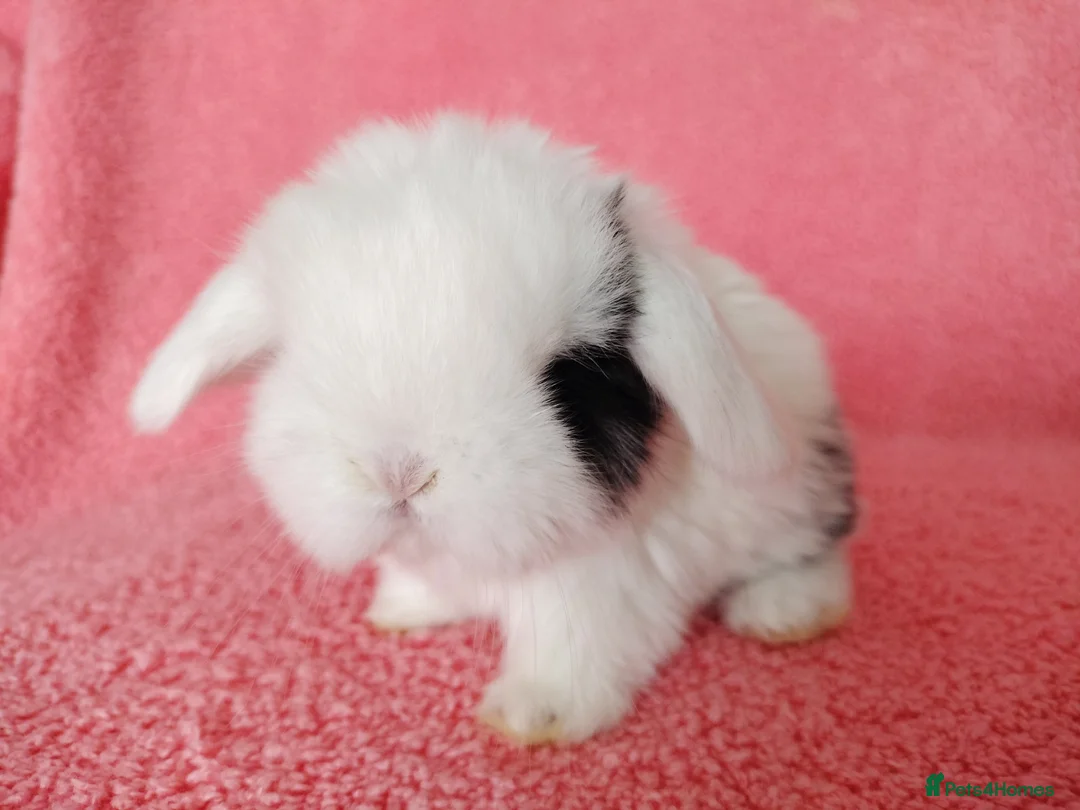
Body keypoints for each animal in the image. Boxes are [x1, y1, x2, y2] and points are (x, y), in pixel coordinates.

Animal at [129, 112, 859, 746]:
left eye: (567, 377)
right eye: (294, 356)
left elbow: (570, 647)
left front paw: (535, 717)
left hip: (798, 501)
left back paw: (784, 613)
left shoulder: (596, 585)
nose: (398, 472)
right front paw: (402, 611)